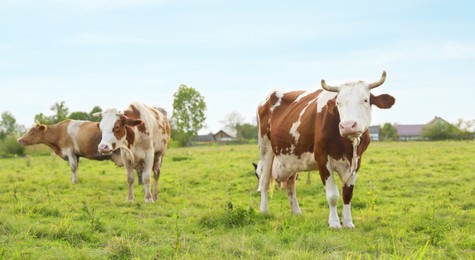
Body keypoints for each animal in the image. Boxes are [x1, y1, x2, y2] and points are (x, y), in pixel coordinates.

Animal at [258, 70, 396, 228]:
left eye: (365, 100)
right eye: (338, 103)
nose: (348, 126)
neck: (348, 146)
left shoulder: (357, 161)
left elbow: (348, 193)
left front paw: (348, 222)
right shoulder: (322, 159)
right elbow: (333, 195)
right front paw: (334, 223)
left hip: (291, 157)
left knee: (291, 183)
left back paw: (296, 212)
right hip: (265, 147)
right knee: (264, 181)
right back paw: (264, 211)